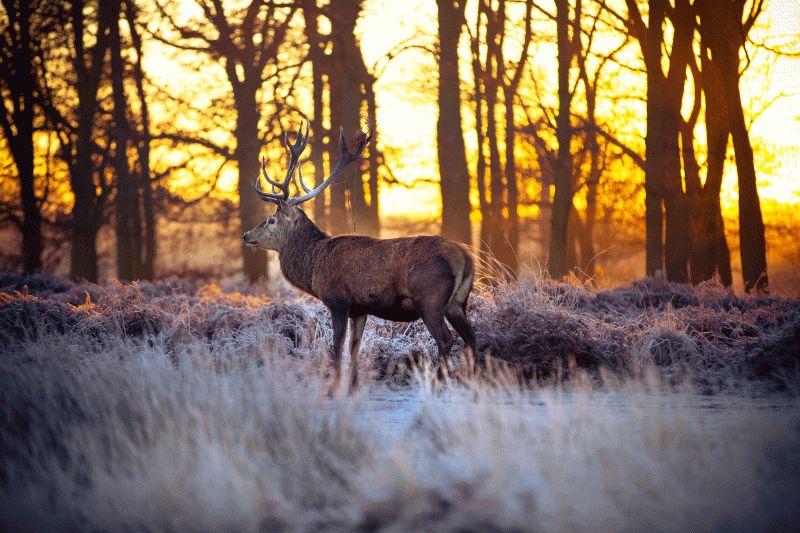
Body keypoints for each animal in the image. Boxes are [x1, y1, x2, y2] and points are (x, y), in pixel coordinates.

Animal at [242, 121, 477, 395]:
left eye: (271, 220)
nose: (246, 235)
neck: (313, 265)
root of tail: (465, 256)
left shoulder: (337, 301)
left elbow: (337, 346)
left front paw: (333, 390)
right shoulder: (360, 309)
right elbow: (355, 347)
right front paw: (353, 387)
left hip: (430, 299)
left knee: (447, 339)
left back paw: (437, 386)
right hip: (458, 301)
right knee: (471, 337)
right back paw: (475, 382)